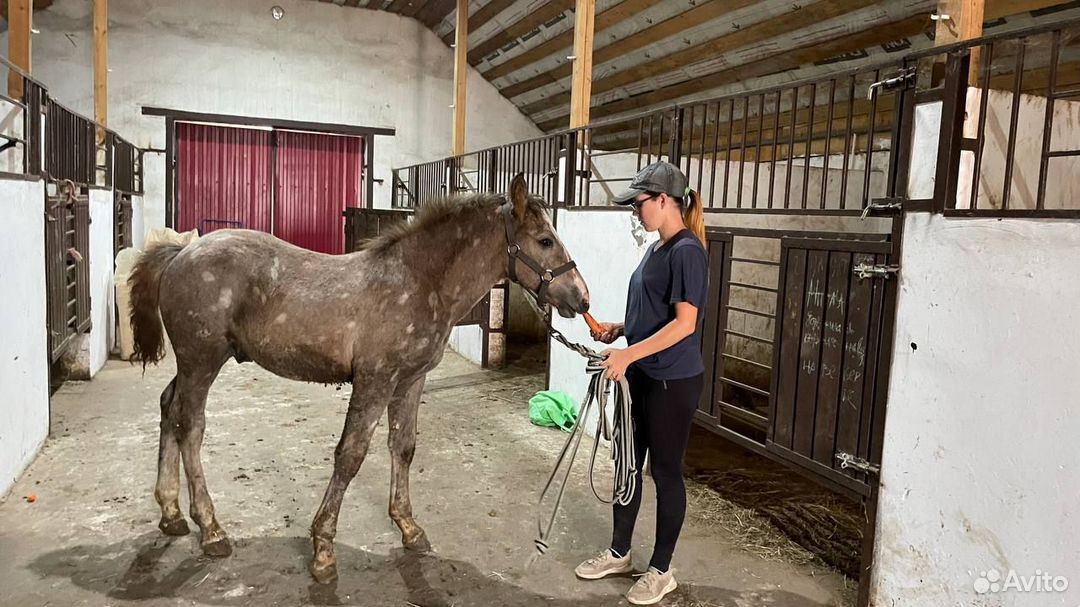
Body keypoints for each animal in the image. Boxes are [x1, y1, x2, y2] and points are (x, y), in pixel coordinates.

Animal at [130, 174, 596, 583]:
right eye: (545, 240)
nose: (582, 298)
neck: (419, 279)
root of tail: (180, 252)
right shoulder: (376, 380)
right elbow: (350, 455)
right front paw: (322, 549)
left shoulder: (409, 381)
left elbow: (403, 447)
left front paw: (409, 529)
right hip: (203, 361)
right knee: (190, 426)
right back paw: (211, 529)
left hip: (192, 365)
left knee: (169, 408)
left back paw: (171, 514)